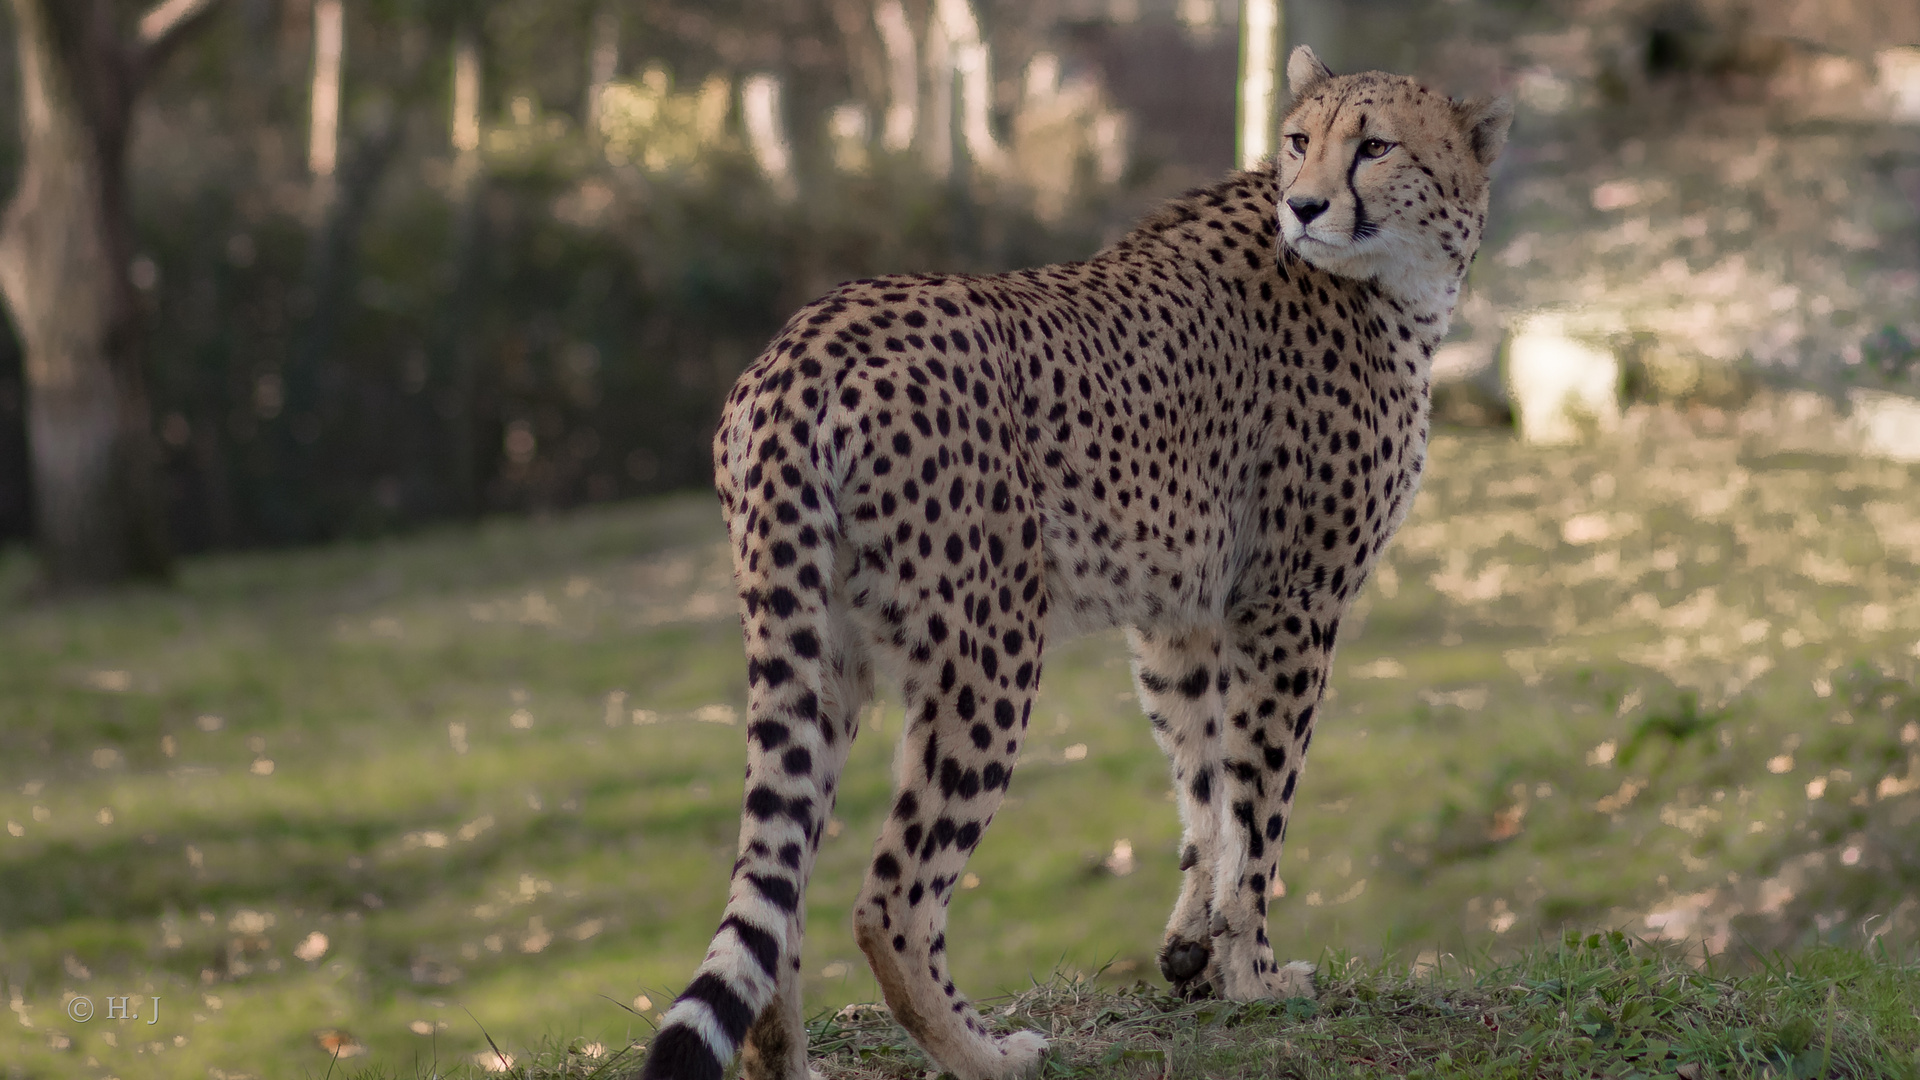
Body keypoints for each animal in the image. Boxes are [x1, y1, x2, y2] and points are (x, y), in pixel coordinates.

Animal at [645, 48, 1512, 1076]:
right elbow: (1259, 801)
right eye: (1301, 139)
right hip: (988, 650)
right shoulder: (1291, 600)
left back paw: (796, 1063)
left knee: (778, 878)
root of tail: (805, 343)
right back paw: (987, 1053)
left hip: (821, 653)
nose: (1303, 206)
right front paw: (1256, 975)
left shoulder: (1181, 615)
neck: (1389, 281)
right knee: (889, 899)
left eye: (1374, 146)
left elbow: (1204, 782)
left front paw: (1194, 953)